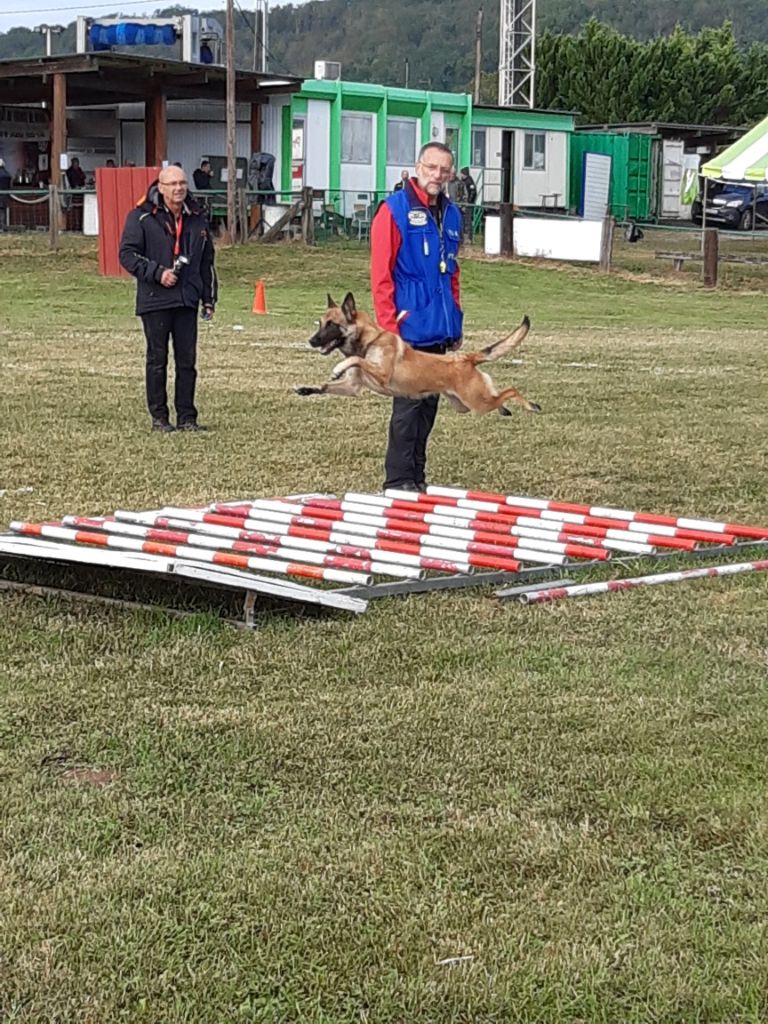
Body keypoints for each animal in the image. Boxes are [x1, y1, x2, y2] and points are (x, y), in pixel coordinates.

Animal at [294, 292, 540, 415]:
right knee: (499, 398)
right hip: (465, 405)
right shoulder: (352, 388)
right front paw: (306, 389)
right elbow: (325, 386)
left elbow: (356, 360)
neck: (369, 340)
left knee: (510, 390)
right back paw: (507, 410)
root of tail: (466, 358)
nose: (311, 341)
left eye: (332, 325)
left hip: (477, 403)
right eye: (320, 324)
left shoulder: (381, 373)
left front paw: (338, 368)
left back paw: (531, 406)